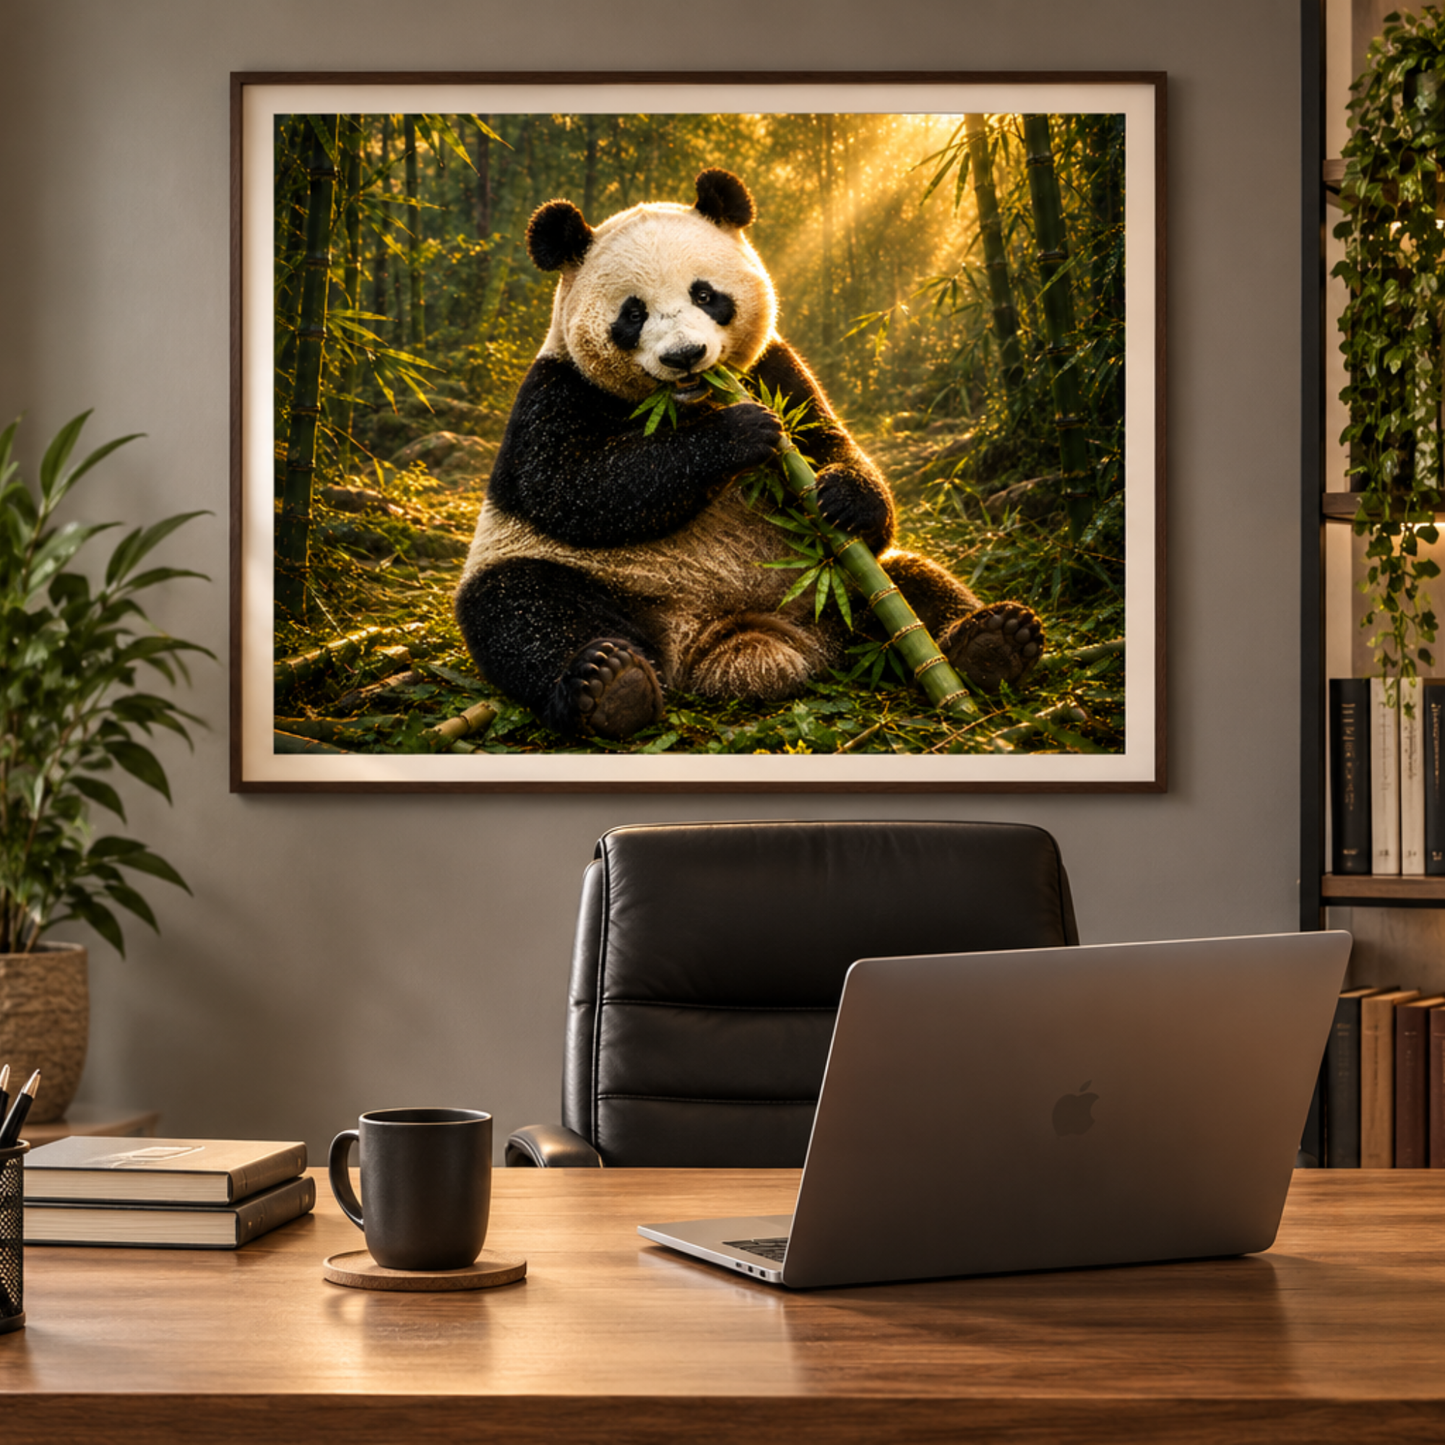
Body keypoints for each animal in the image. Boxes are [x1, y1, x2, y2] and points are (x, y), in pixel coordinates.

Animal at [454, 167, 1044, 740]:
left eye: (705, 295)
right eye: (633, 314)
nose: (685, 355)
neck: (692, 402)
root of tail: (726, 638)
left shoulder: (775, 367)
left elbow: (833, 446)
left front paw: (843, 495)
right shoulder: (557, 390)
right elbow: (572, 488)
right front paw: (739, 434)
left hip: (835, 585)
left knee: (909, 583)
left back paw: (994, 643)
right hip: (585, 577)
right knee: (522, 612)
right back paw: (609, 687)